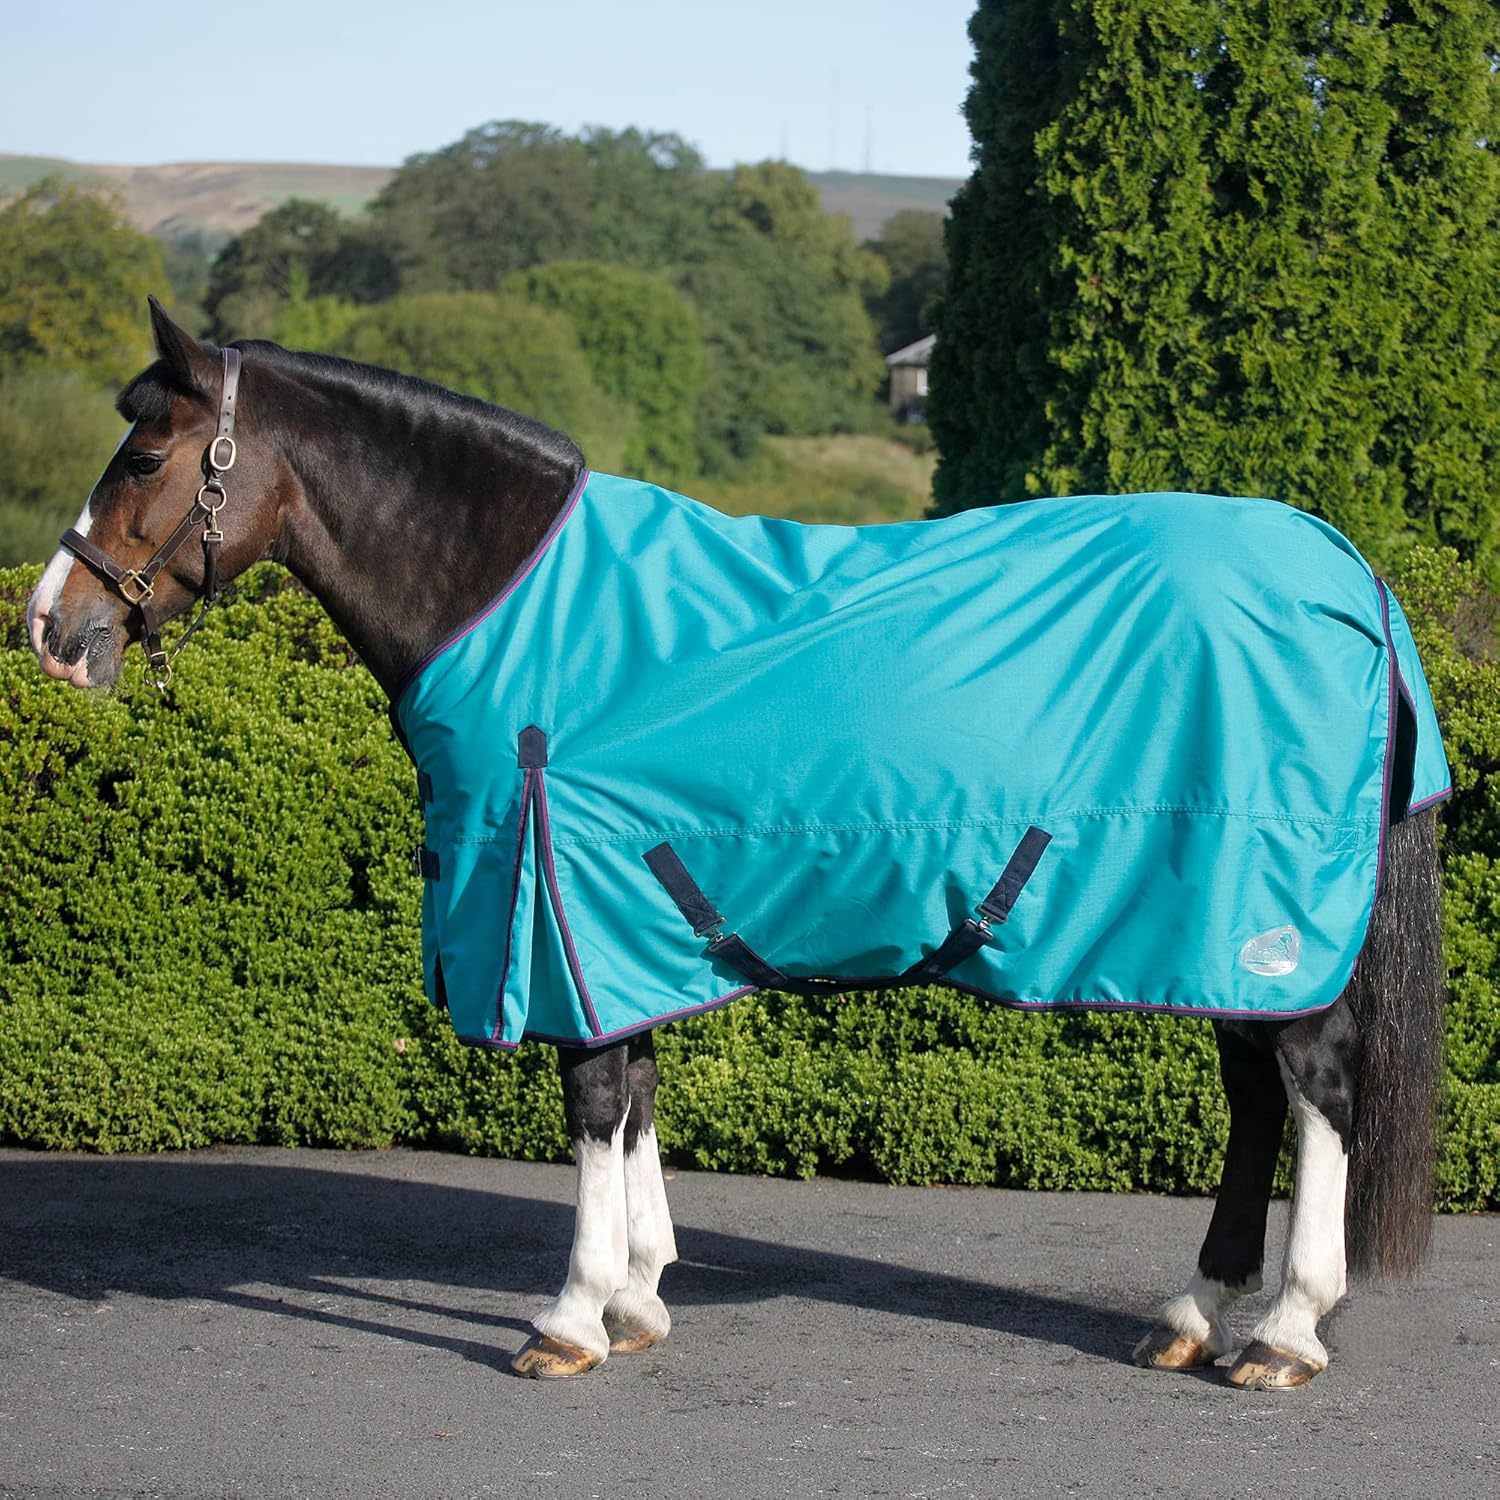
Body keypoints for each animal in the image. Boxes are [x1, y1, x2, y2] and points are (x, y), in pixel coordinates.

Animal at [28, 298, 1448, 1387]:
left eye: (145, 458)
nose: (50, 626)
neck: (516, 601)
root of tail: (1351, 573)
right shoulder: (618, 914)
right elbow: (637, 1095)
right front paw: (640, 1293)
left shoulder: (566, 896)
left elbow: (595, 1102)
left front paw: (571, 1317)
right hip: (1207, 929)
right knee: (1255, 1102)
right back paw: (1197, 1315)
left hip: (1264, 919)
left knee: (1316, 1091)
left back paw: (1286, 1333)